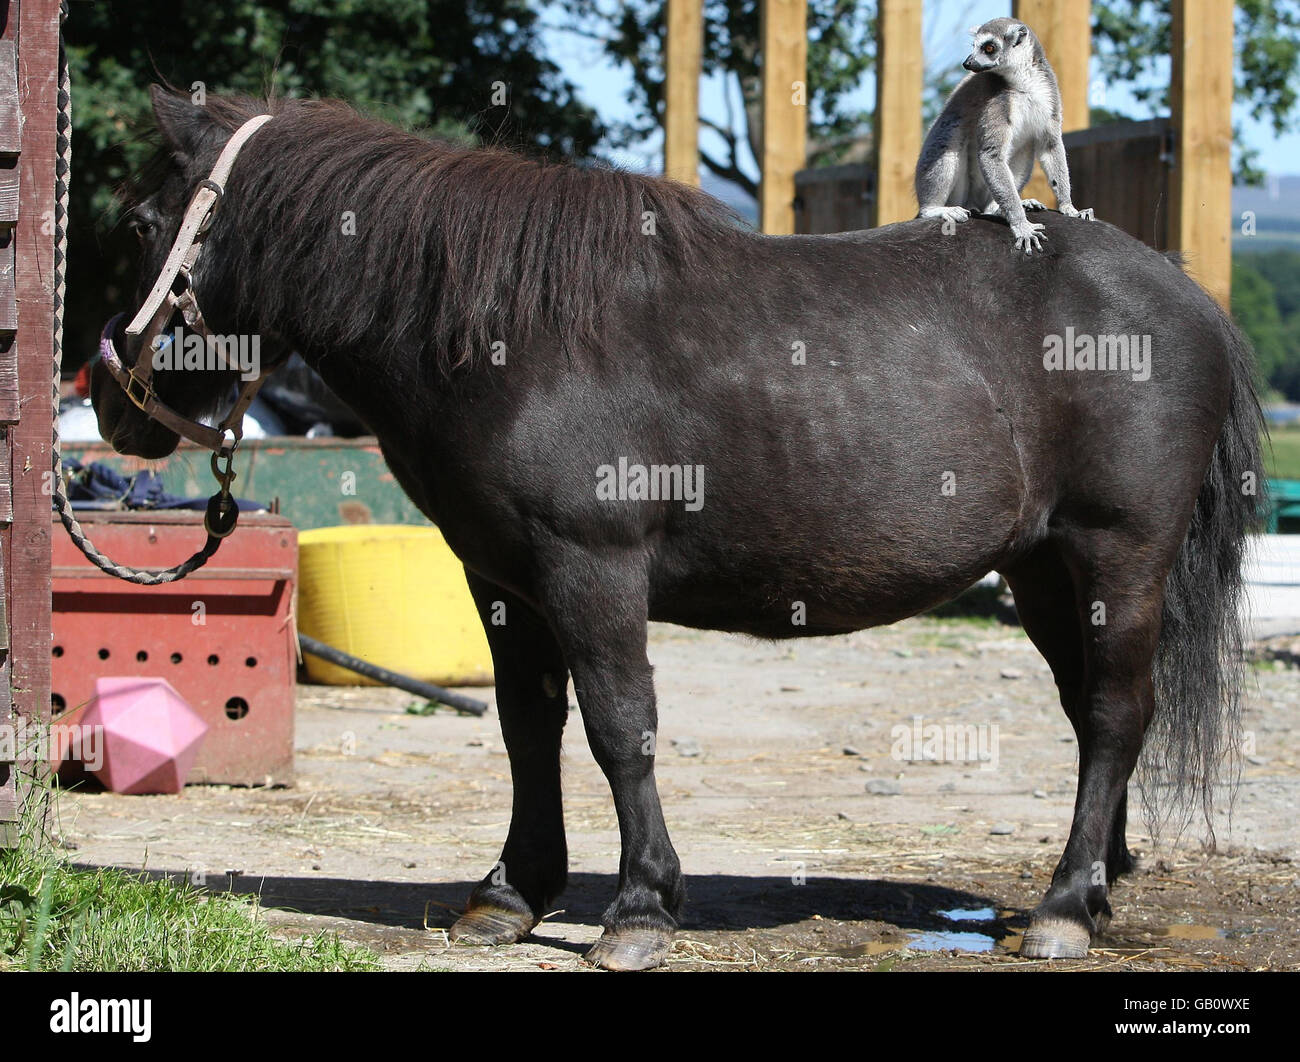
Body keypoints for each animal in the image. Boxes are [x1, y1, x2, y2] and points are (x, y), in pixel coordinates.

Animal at [94, 90, 1268, 967]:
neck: (509, 331)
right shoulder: (502, 581)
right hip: (1040, 572)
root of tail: (1189, 298)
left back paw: (1064, 907)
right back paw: (1097, 883)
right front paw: (510, 893)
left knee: (1115, 712)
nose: (110, 403)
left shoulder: (591, 571)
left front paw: (639, 909)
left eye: (141, 226)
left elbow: (621, 728)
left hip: (1118, 555)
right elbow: (527, 728)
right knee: (1094, 712)